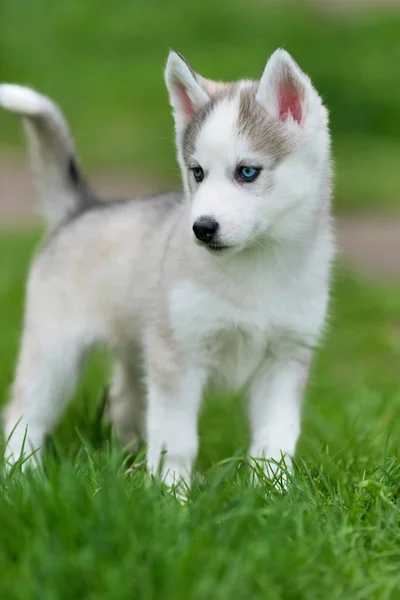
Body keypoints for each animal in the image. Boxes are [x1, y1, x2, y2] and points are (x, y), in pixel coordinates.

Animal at [0, 49, 332, 490]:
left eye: (247, 171)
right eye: (197, 172)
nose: (202, 227)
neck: (256, 268)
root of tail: (81, 209)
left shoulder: (285, 358)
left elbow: (275, 440)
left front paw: (271, 494)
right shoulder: (179, 357)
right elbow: (177, 441)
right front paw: (173, 495)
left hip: (133, 354)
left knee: (121, 401)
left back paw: (124, 458)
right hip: (55, 352)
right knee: (25, 413)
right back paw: (20, 473)